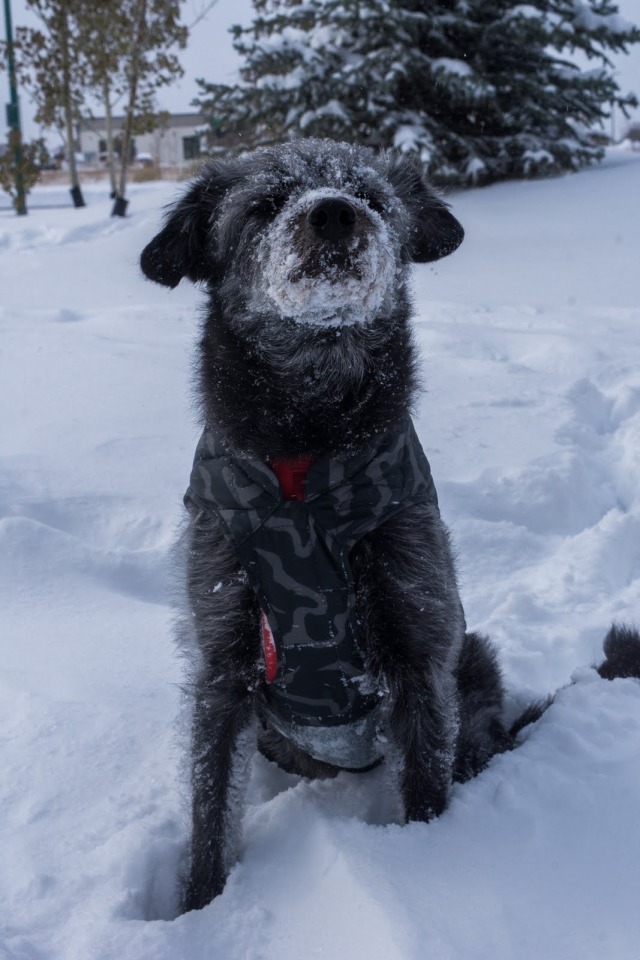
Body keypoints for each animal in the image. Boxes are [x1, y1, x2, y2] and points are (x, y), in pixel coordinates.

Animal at [141, 139, 640, 912]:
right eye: (264, 204)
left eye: (372, 198)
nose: (334, 214)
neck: (307, 440)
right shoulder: (222, 665)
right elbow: (210, 809)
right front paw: (199, 907)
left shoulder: (417, 649)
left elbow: (426, 782)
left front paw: (424, 864)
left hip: (474, 664)